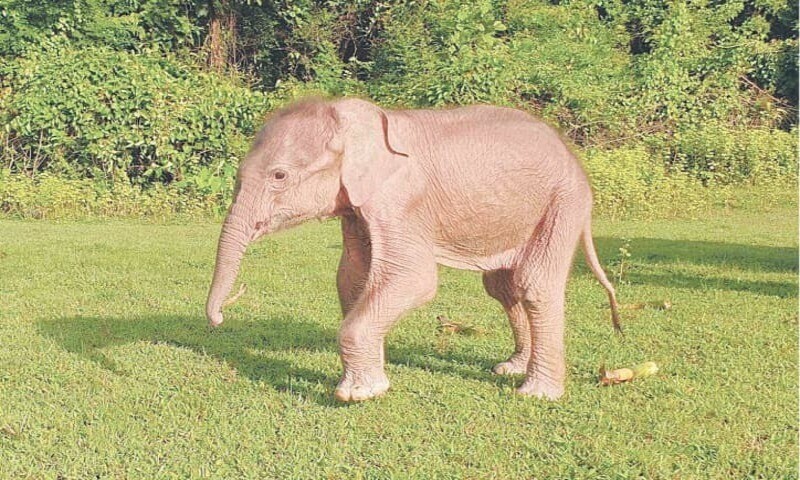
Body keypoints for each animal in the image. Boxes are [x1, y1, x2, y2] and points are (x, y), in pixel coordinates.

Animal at [206, 97, 621, 402]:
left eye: (279, 176)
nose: (220, 319)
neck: (354, 118)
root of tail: (575, 159)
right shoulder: (358, 207)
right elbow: (352, 277)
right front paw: (369, 378)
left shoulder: (402, 201)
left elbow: (413, 279)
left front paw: (358, 394)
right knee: (503, 286)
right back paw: (511, 368)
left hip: (563, 202)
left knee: (534, 284)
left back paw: (536, 393)